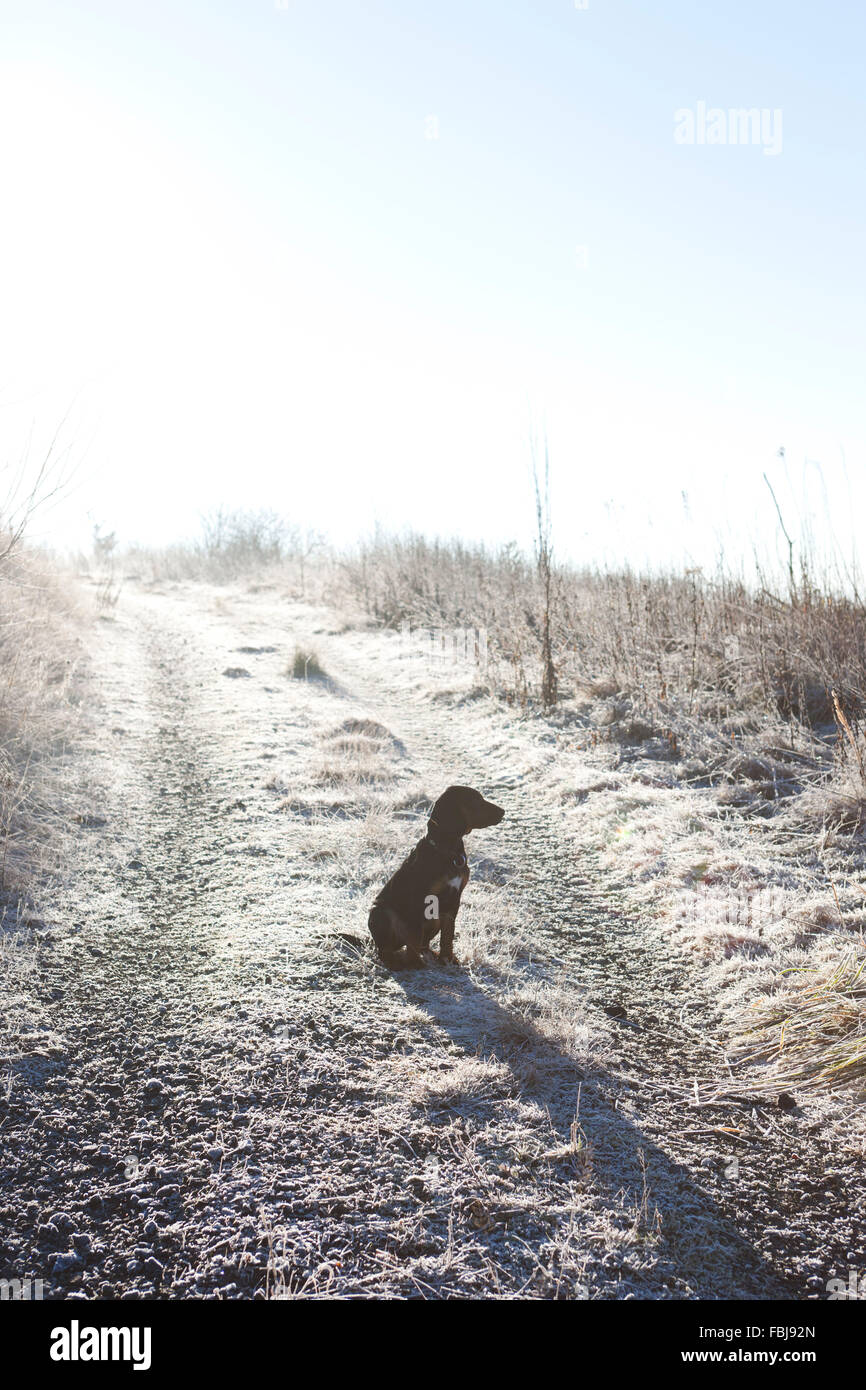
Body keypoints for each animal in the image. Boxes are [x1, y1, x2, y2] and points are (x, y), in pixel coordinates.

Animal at [369, 783, 505, 967]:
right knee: (385, 949)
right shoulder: (418, 899)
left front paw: (447, 958)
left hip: (435, 918)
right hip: (381, 912)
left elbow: (448, 935)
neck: (447, 851)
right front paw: (415, 964)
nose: (503, 811)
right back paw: (395, 962)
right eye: (475, 801)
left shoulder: (453, 900)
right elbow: (414, 934)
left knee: (422, 943)